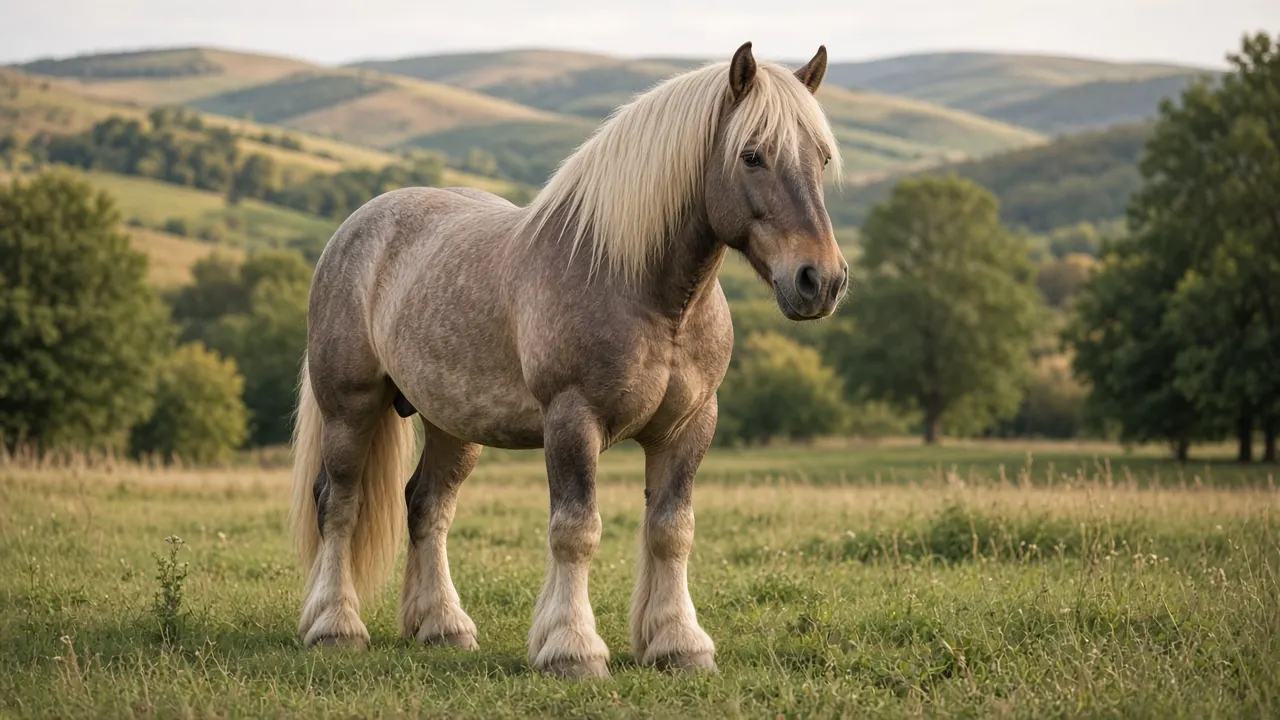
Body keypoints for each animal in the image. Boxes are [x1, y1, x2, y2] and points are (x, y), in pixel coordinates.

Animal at [286, 40, 848, 680]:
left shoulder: (689, 426)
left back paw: (443, 627)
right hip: (349, 409)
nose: (820, 280)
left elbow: (671, 531)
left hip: (453, 427)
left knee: (427, 508)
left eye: (822, 157)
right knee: (339, 504)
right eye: (752, 155)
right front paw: (573, 649)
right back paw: (335, 627)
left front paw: (679, 643)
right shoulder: (572, 421)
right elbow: (576, 530)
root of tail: (353, 229)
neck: (646, 294)